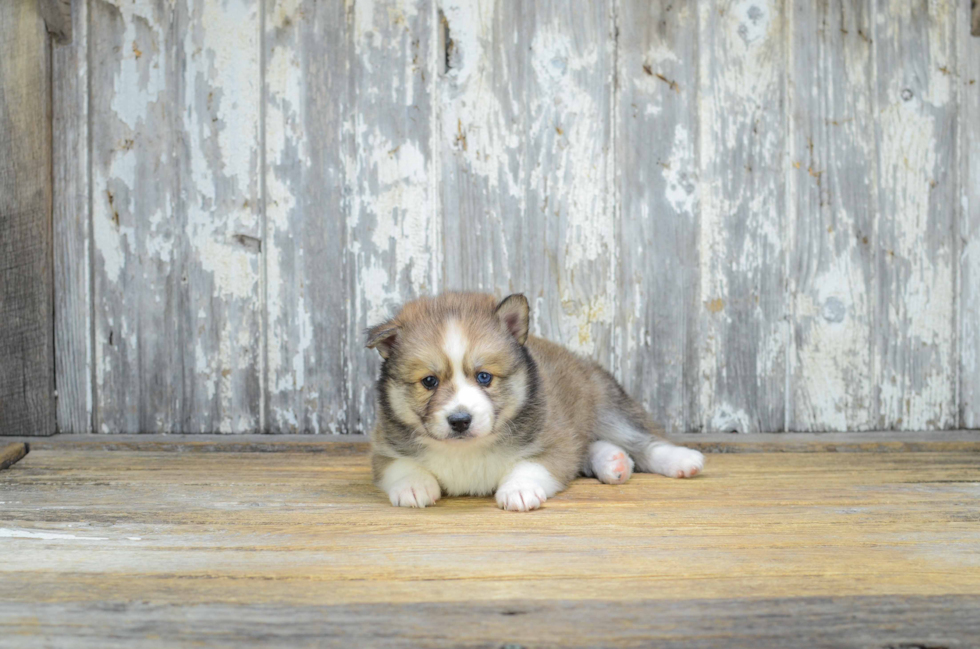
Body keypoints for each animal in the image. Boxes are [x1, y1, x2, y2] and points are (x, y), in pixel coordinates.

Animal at [364, 294, 700, 512]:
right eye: (429, 381)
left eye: (484, 377)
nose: (460, 421)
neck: (467, 450)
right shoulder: (383, 448)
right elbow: (400, 465)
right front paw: (413, 485)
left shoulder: (556, 441)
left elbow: (533, 464)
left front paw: (519, 489)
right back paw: (614, 462)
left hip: (607, 406)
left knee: (643, 441)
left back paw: (681, 460)